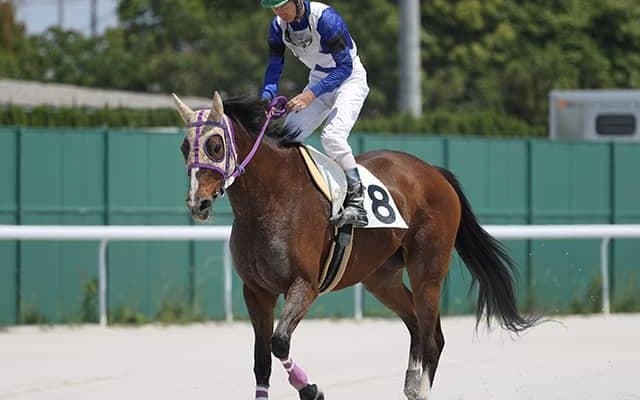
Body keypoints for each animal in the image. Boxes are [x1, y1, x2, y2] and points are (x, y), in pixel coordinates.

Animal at [172, 91, 539, 400]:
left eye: (215, 145)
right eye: (184, 146)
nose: (197, 203)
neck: (269, 198)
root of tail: (434, 172)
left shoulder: (304, 285)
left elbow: (279, 342)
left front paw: (311, 389)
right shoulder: (256, 291)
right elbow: (262, 359)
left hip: (428, 271)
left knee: (433, 339)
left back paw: (419, 389)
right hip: (381, 278)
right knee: (416, 325)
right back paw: (410, 384)